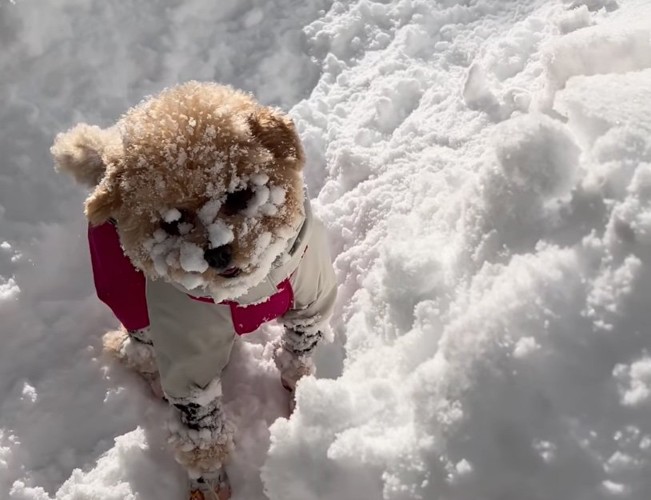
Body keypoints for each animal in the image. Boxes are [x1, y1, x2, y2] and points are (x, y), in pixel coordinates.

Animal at [52, 83, 336, 500]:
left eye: (240, 195)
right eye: (172, 223)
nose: (216, 252)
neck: (246, 292)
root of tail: (108, 159)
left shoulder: (309, 299)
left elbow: (299, 352)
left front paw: (301, 393)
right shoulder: (188, 357)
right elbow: (199, 427)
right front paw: (207, 480)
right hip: (125, 294)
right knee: (136, 347)